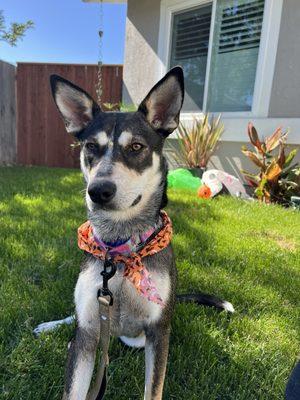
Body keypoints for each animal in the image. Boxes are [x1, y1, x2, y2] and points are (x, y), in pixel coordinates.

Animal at [40, 67, 232, 398]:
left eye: (136, 147)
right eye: (91, 147)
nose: (98, 191)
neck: (120, 249)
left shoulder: (158, 333)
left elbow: (152, 389)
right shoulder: (88, 333)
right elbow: (74, 383)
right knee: (74, 319)